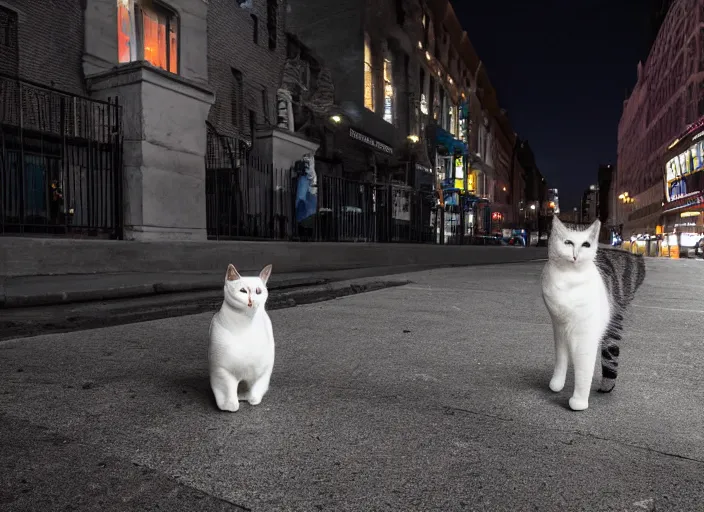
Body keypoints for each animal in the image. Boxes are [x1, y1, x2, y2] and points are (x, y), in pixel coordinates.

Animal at [208, 264, 274, 412]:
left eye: (258, 291)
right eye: (243, 291)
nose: (251, 300)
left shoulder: (263, 371)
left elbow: (255, 393)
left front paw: (253, 399)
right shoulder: (222, 370)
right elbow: (228, 394)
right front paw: (229, 405)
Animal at [540, 217, 648, 412]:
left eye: (586, 244)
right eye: (568, 242)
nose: (575, 255)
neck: (568, 278)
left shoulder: (585, 333)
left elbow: (584, 367)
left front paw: (579, 401)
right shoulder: (558, 326)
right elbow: (561, 357)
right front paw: (557, 384)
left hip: (615, 318)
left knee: (611, 351)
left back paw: (606, 385)